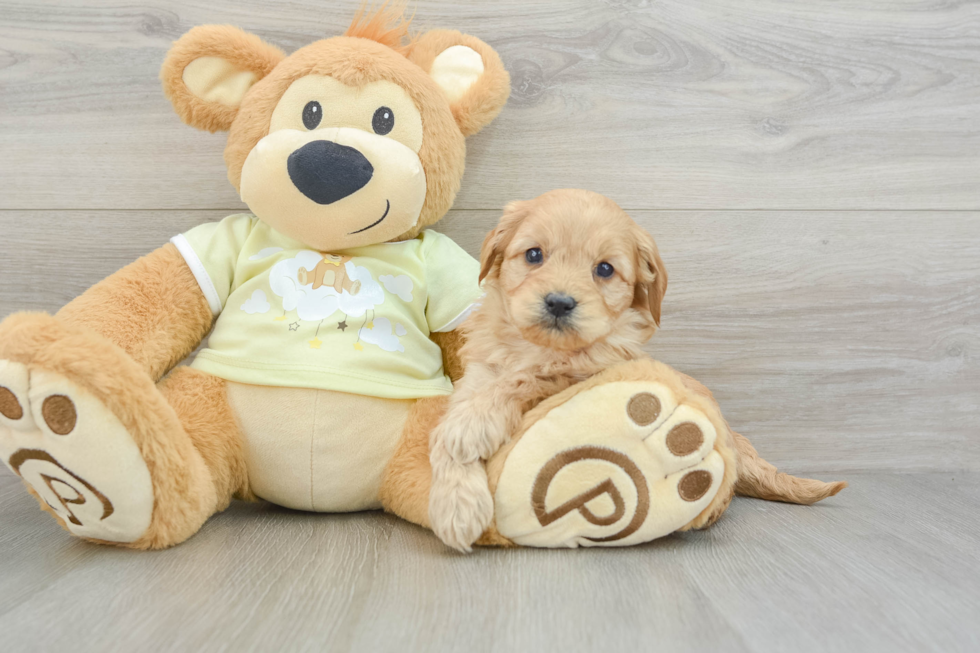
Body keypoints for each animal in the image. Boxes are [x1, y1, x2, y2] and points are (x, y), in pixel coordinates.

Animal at [428, 188, 668, 552]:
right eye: (534, 254)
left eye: (605, 269)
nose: (559, 302)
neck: (539, 348)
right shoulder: (479, 374)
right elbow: (446, 430)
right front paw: (456, 506)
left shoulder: (586, 371)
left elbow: (528, 377)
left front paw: (471, 425)